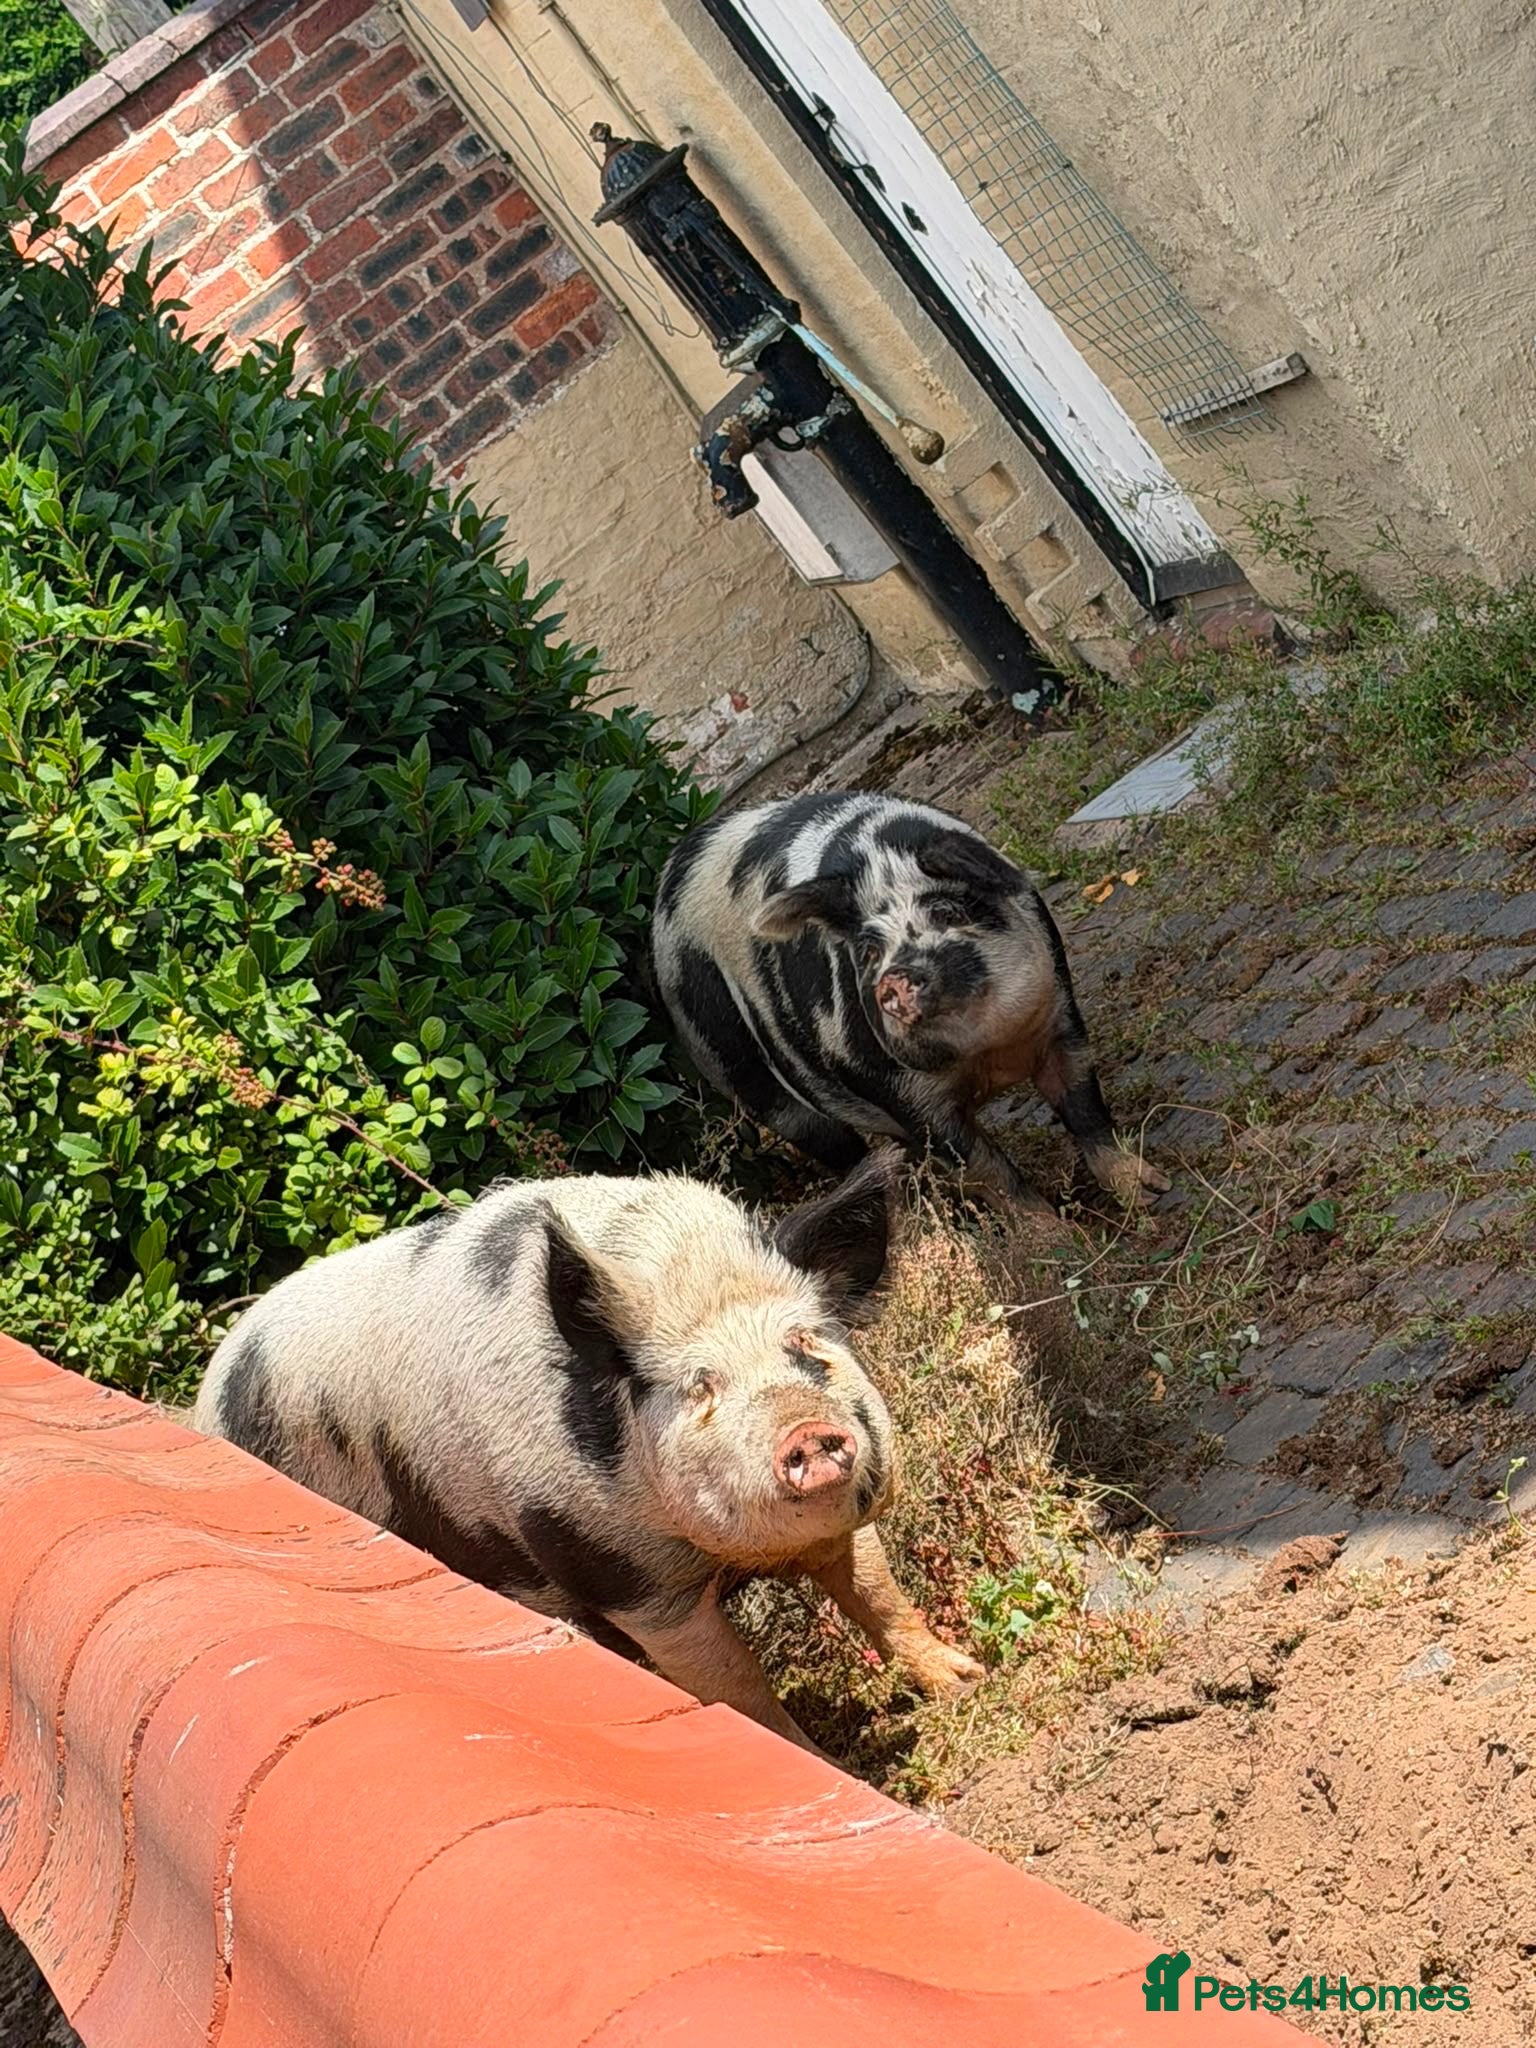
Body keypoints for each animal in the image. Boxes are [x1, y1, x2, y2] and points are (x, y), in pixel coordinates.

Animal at [192, 1154, 981, 1752]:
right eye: (700, 1386)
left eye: (807, 1345)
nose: (806, 1431)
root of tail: (210, 1390)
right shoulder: (623, 1579)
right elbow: (737, 1685)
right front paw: (827, 1764)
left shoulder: (841, 1522)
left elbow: (879, 1592)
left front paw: (966, 1680)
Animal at [651, 790, 1167, 1208]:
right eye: (868, 950)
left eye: (946, 911)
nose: (893, 980)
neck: (989, 1055)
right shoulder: (903, 1095)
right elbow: (991, 1173)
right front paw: (1054, 1237)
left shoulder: (1060, 1015)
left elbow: (1086, 1111)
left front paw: (1149, 1194)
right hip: (741, 1076)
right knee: (836, 1147)